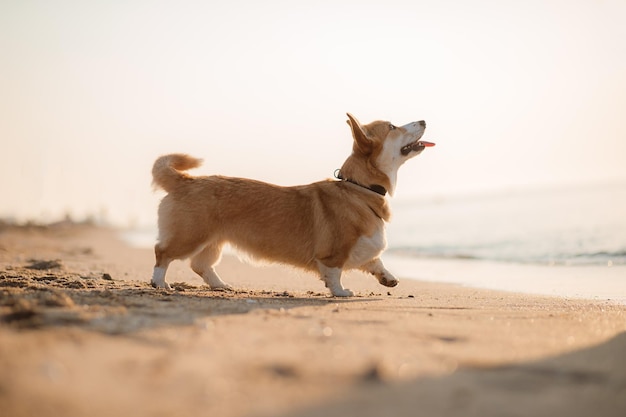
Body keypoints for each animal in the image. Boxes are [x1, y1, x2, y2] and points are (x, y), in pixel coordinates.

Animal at [151, 113, 434, 296]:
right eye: (393, 126)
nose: (424, 120)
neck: (359, 187)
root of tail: (185, 181)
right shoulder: (335, 253)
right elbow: (335, 273)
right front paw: (341, 292)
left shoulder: (364, 247)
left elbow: (376, 262)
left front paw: (388, 278)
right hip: (190, 236)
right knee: (162, 253)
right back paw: (160, 284)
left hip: (213, 242)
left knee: (200, 265)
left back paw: (220, 285)